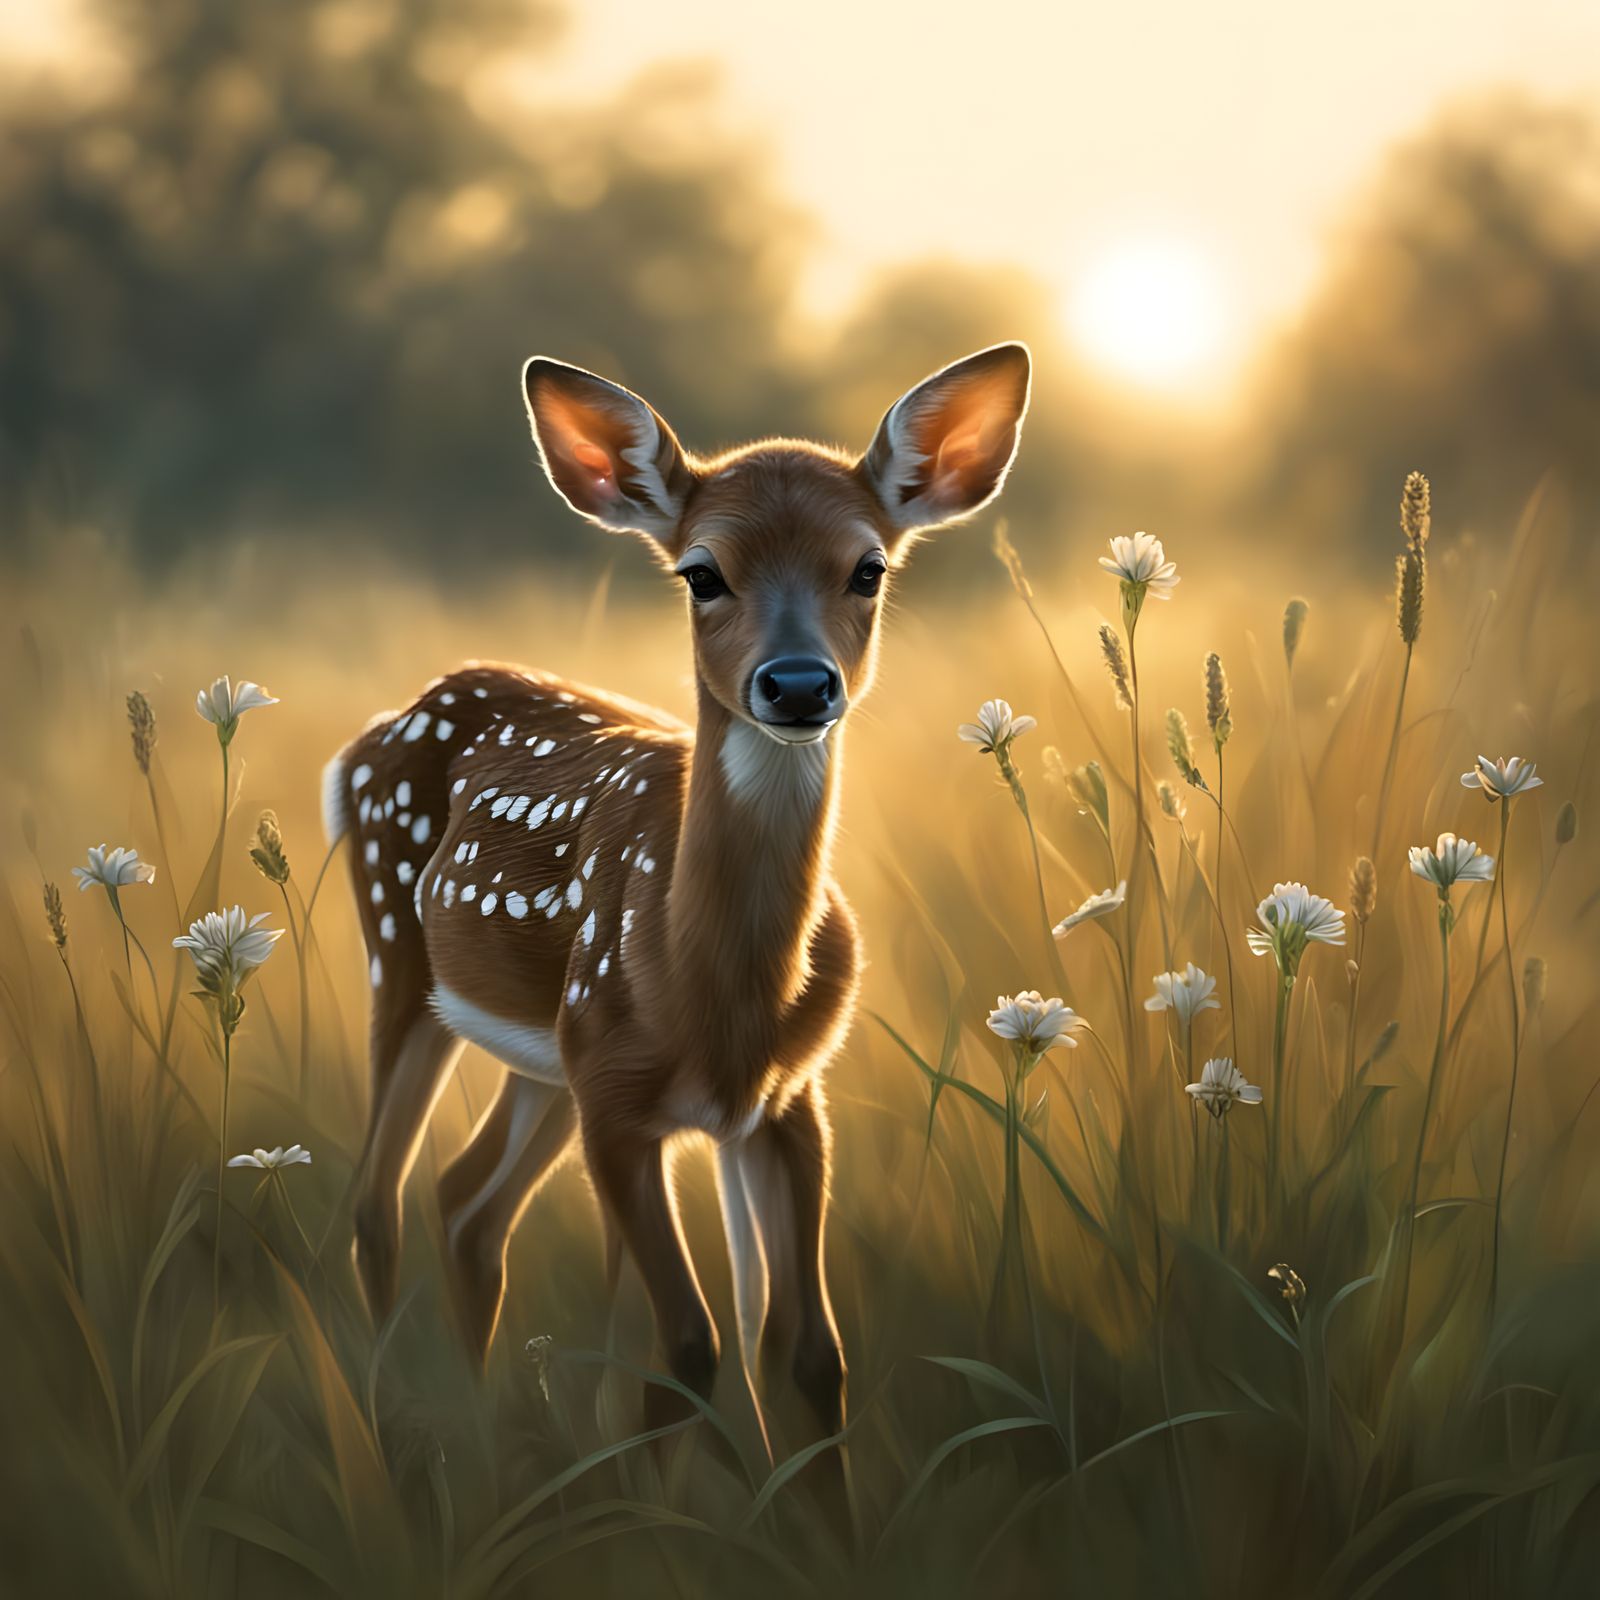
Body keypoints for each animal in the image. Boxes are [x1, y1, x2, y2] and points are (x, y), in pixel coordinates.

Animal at [322, 342, 1031, 1452]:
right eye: (703, 573)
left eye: (867, 568)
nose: (797, 684)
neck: (711, 992)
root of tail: (372, 734)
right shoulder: (619, 1104)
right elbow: (685, 1351)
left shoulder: (788, 1100)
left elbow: (805, 1353)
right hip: (403, 956)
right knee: (374, 1199)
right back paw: (413, 1447)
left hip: (545, 1059)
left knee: (468, 1203)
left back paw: (495, 1440)